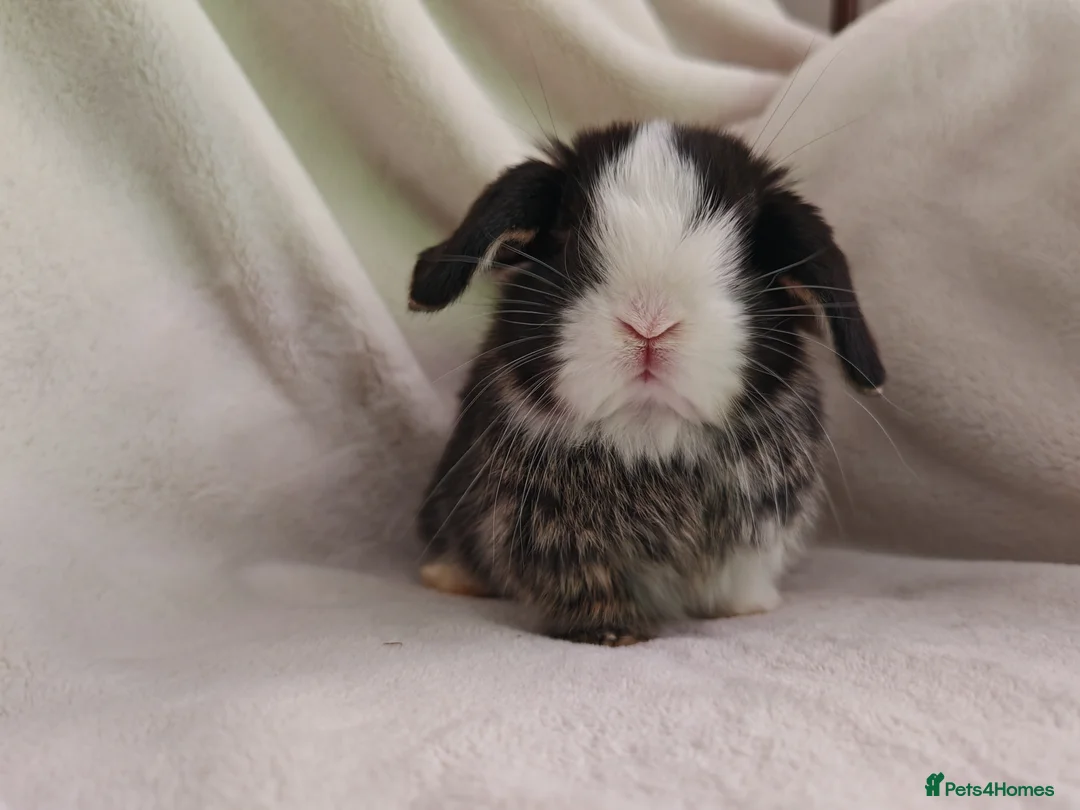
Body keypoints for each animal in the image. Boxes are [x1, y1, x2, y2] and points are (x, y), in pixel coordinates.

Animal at [407, 120, 885, 646]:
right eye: (566, 238)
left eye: (748, 257)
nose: (649, 323)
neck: (649, 436)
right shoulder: (550, 537)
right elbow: (584, 583)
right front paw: (613, 633)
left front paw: (745, 608)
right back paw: (448, 577)